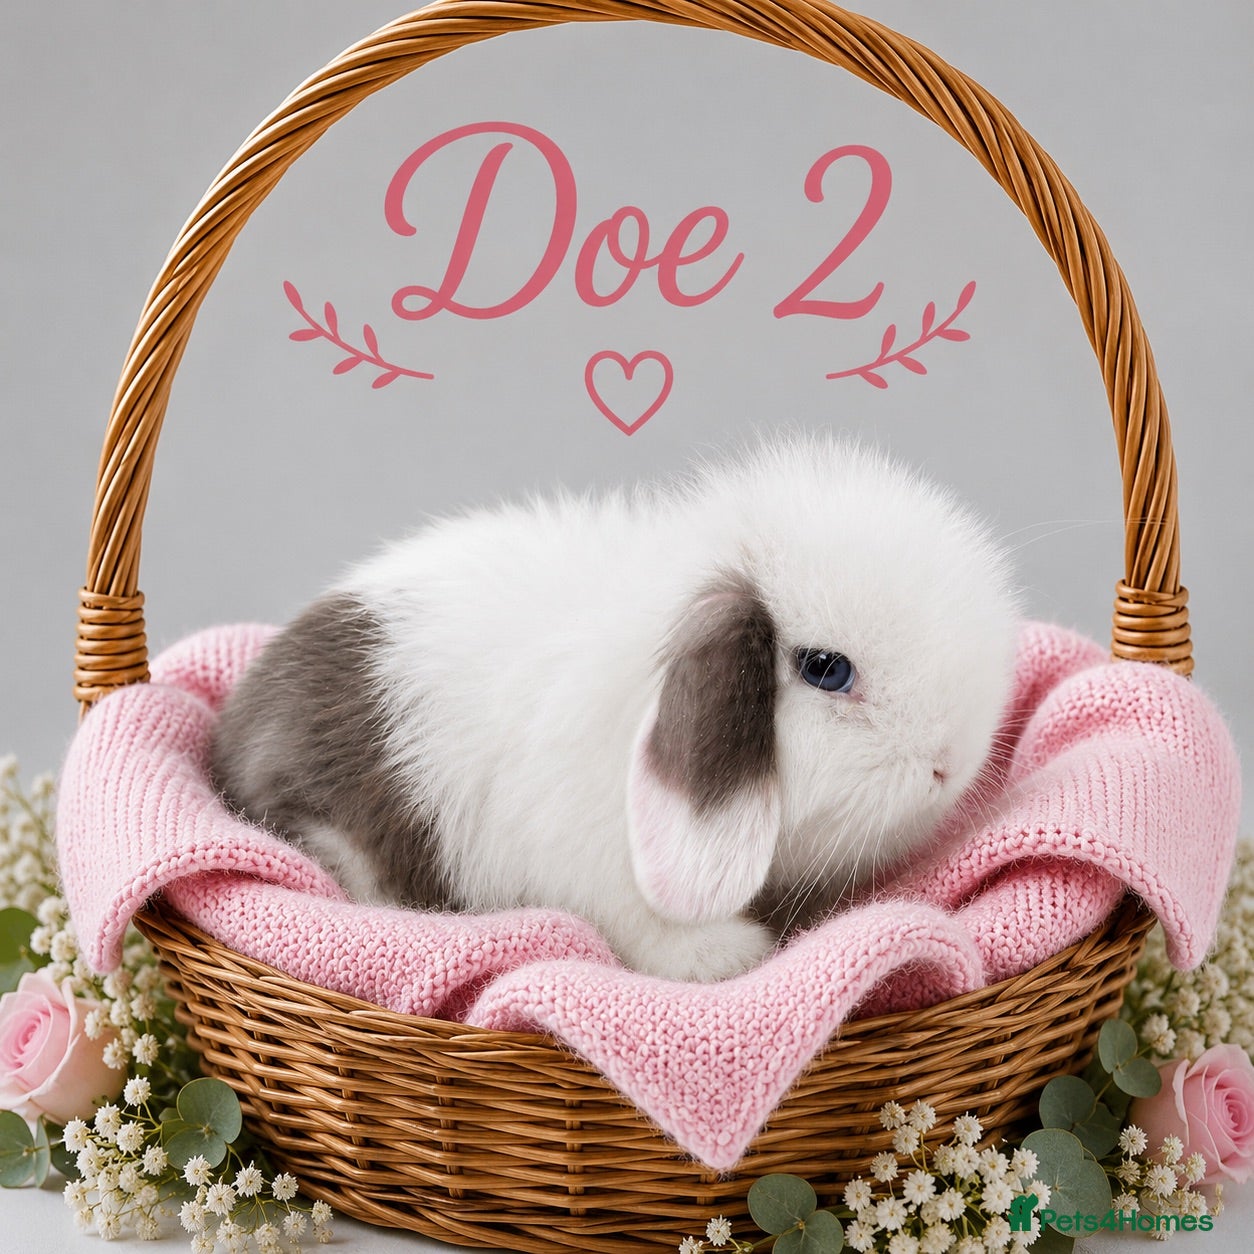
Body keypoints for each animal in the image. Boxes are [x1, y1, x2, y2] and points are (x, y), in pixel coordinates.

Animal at [209, 435, 1020, 982]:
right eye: (825, 669)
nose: (952, 764)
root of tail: (229, 738)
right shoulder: (605, 873)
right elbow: (652, 929)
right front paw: (730, 955)